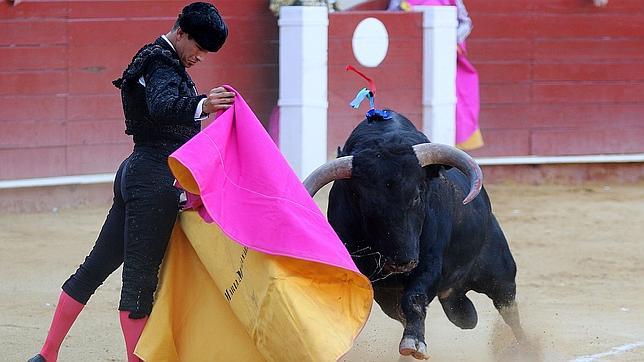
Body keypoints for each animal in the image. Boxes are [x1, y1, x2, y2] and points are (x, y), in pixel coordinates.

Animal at [304, 111, 524, 360]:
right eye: (362, 201)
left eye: (418, 194)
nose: (403, 261)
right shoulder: (378, 284)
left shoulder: (429, 263)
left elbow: (415, 299)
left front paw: (413, 342)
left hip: (499, 272)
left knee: (508, 308)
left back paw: (528, 348)